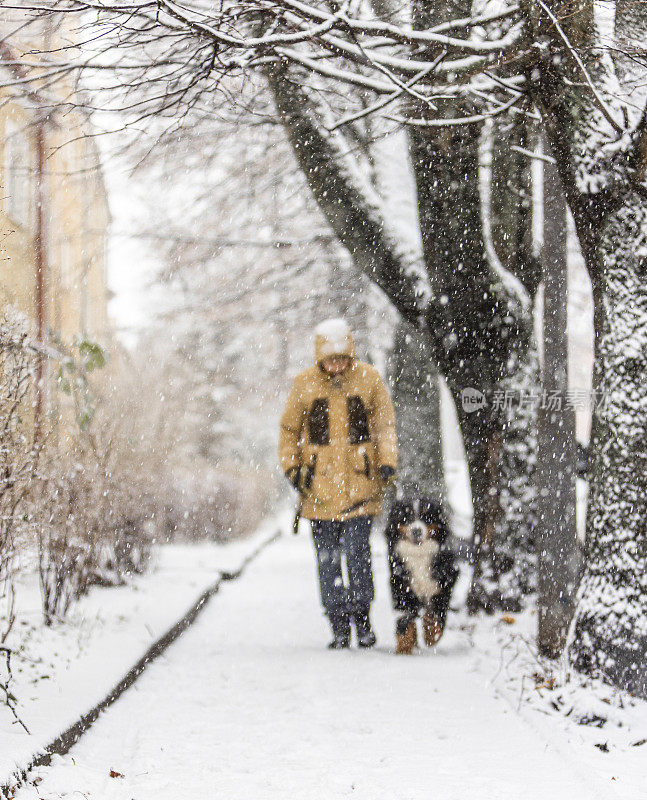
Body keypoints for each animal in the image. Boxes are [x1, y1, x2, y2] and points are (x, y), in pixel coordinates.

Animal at [388, 496, 458, 652]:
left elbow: (437, 615)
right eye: (406, 517)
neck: (418, 555)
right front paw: (404, 646)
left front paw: (431, 635)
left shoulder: (444, 582)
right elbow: (406, 618)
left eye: (427, 517)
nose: (416, 531)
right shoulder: (401, 585)